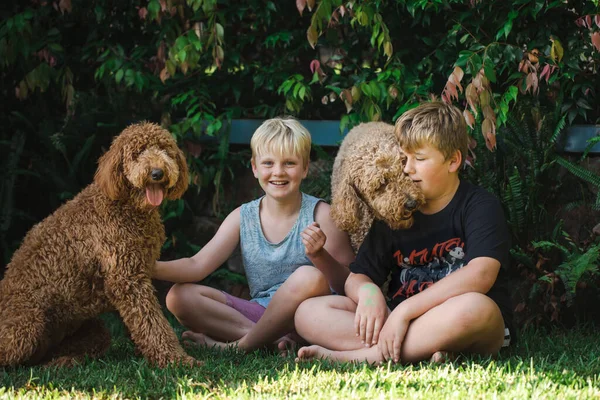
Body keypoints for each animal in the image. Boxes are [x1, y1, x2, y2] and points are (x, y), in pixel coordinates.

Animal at [0, 122, 199, 368]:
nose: (157, 173)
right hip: (28, 324)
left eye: (165, 150)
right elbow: (153, 324)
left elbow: (141, 323)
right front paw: (177, 359)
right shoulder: (126, 279)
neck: (126, 206)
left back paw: (63, 362)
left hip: (92, 329)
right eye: (137, 153)